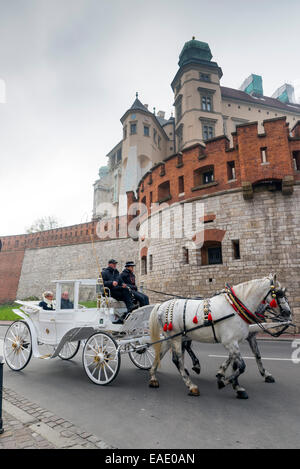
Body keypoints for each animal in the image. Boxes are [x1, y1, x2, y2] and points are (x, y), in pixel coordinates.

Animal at [149, 274, 292, 398]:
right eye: (278, 293)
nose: (288, 313)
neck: (236, 308)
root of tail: (162, 305)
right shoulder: (230, 342)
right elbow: (241, 366)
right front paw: (224, 382)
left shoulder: (237, 341)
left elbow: (241, 362)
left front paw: (235, 385)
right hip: (176, 337)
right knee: (177, 359)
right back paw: (191, 385)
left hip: (171, 337)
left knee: (161, 354)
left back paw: (153, 377)